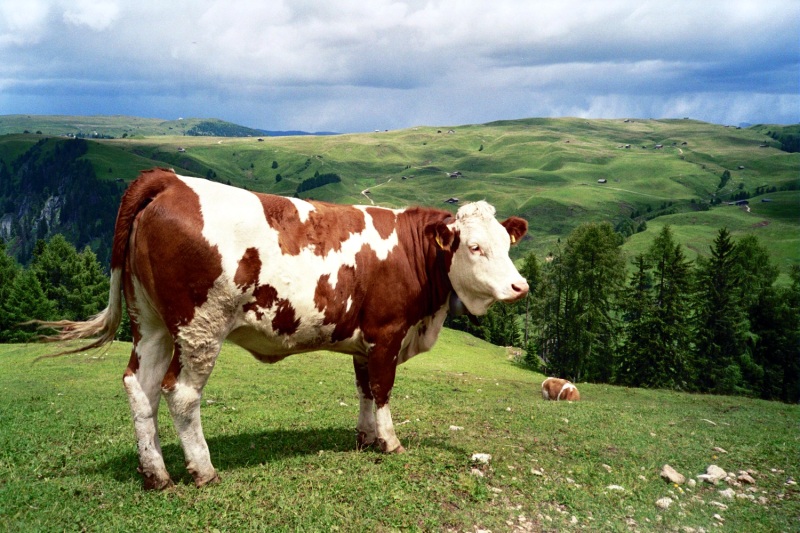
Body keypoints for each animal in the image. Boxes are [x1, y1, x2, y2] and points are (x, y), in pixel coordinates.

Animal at [40, 168, 529, 490]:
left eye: (507, 245)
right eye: (474, 247)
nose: (519, 286)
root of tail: (171, 180)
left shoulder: (364, 341)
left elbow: (365, 391)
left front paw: (365, 438)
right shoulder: (388, 332)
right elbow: (384, 390)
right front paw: (389, 442)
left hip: (151, 322)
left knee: (139, 388)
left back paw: (155, 474)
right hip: (200, 326)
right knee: (180, 393)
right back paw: (203, 470)